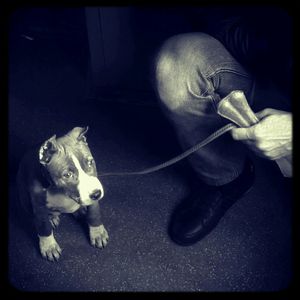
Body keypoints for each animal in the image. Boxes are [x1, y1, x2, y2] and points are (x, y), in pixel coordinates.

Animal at [16, 126, 108, 260]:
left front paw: (98, 233)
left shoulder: (93, 200)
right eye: (67, 175)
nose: (96, 194)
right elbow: (44, 227)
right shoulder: (39, 206)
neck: (61, 192)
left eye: (90, 162)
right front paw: (49, 246)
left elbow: (94, 214)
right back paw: (52, 217)